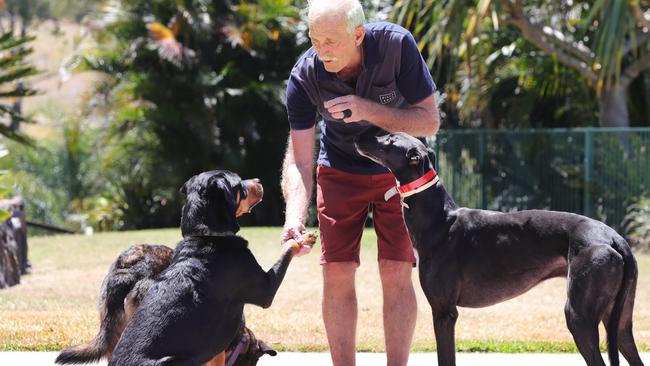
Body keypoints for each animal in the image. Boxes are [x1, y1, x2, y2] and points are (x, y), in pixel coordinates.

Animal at [55, 172, 314, 366]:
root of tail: (124, 274)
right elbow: (286, 252)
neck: (207, 235)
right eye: (239, 183)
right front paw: (301, 238)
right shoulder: (264, 291)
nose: (259, 181)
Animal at [354, 133, 644, 366]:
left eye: (390, 139)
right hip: (620, 321)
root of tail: (615, 238)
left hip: (579, 316)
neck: (440, 218)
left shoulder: (445, 312)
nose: (359, 135)